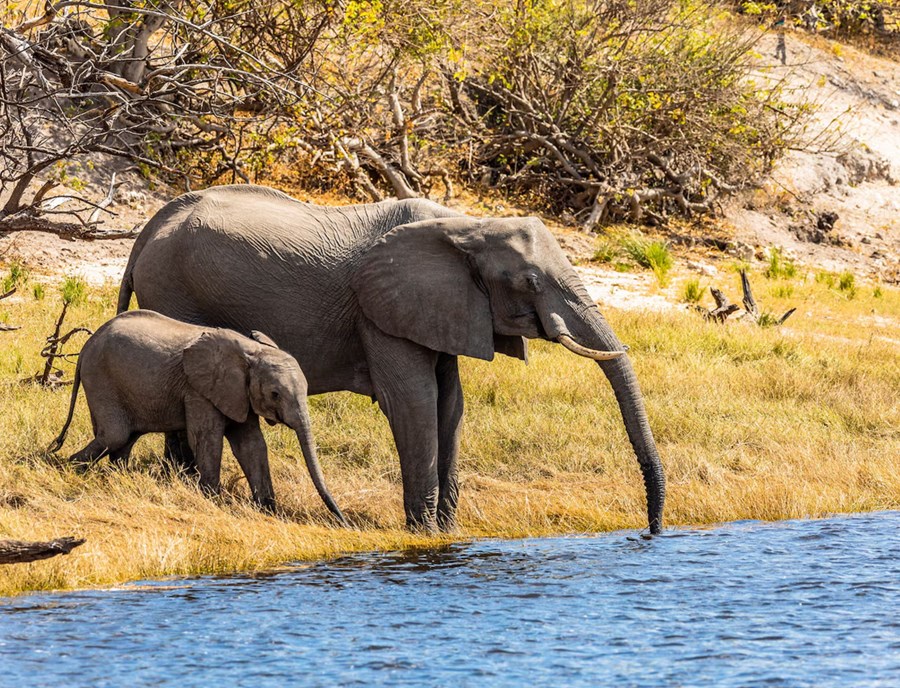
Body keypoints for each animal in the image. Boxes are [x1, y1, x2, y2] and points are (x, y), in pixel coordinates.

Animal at [49, 309, 347, 524]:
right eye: (275, 394)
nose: (342, 521)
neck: (250, 351)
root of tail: (86, 345)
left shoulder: (238, 393)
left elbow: (251, 444)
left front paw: (266, 509)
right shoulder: (198, 389)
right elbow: (208, 438)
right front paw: (213, 501)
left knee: (125, 439)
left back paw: (115, 477)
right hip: (101, 378)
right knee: (114, 435)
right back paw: (68, 469)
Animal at [117, 185, 665, 534]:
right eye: (530, 282)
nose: (653, 529)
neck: (465, 225)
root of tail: (149, 227)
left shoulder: (440, 309)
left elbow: (450, 403)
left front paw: (449, 532)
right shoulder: (379, 311)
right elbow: (414, 401)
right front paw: (423, 535)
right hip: (173, 290)